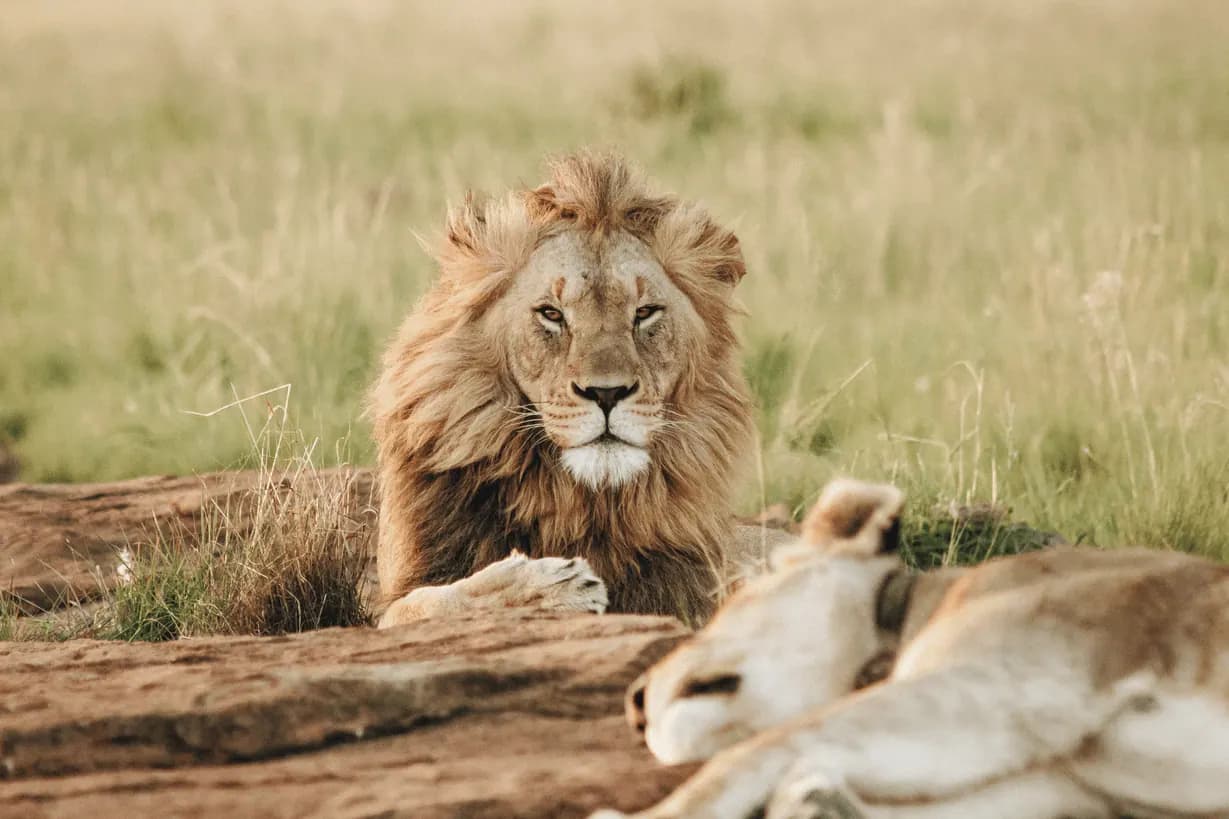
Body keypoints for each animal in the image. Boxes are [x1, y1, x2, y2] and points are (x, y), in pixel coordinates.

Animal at [370, 151, 788, 628]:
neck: (578, 502)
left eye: (645, 312)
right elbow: (428, 603)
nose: (607, 393)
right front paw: (548, 588)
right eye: (551, 314)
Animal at [595, 479, 1229, 818]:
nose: (633, 701)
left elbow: (751, 751)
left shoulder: (1015, 681)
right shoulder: (1061, 788)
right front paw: (816, 800)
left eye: (729, 603)